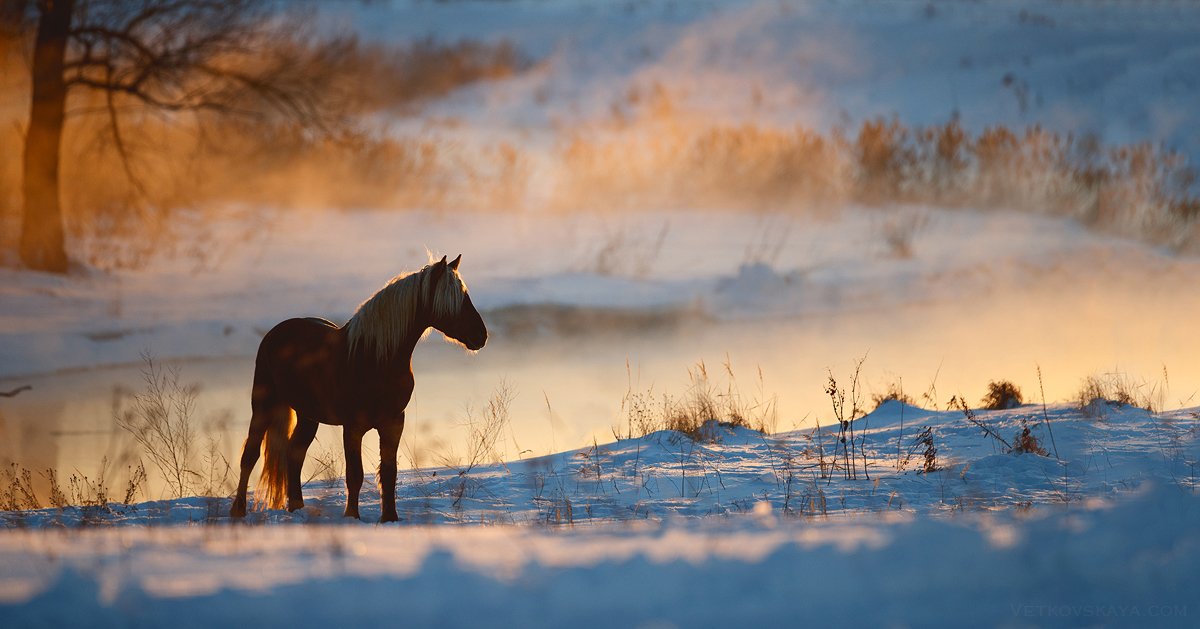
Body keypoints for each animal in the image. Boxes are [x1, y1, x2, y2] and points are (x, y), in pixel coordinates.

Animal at [229, 253, 482, 523]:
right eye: (454, 299)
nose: (482, 335)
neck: (373, 358)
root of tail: (274, 332)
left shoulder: (393, 423)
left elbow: (389, 473)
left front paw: (389, 518)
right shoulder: (352, 427)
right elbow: (355, 475)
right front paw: (352, 516)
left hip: (308, 416)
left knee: (294, 454)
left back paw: (296, 508)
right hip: (263, 405)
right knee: (250, 456)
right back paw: (238, 510)